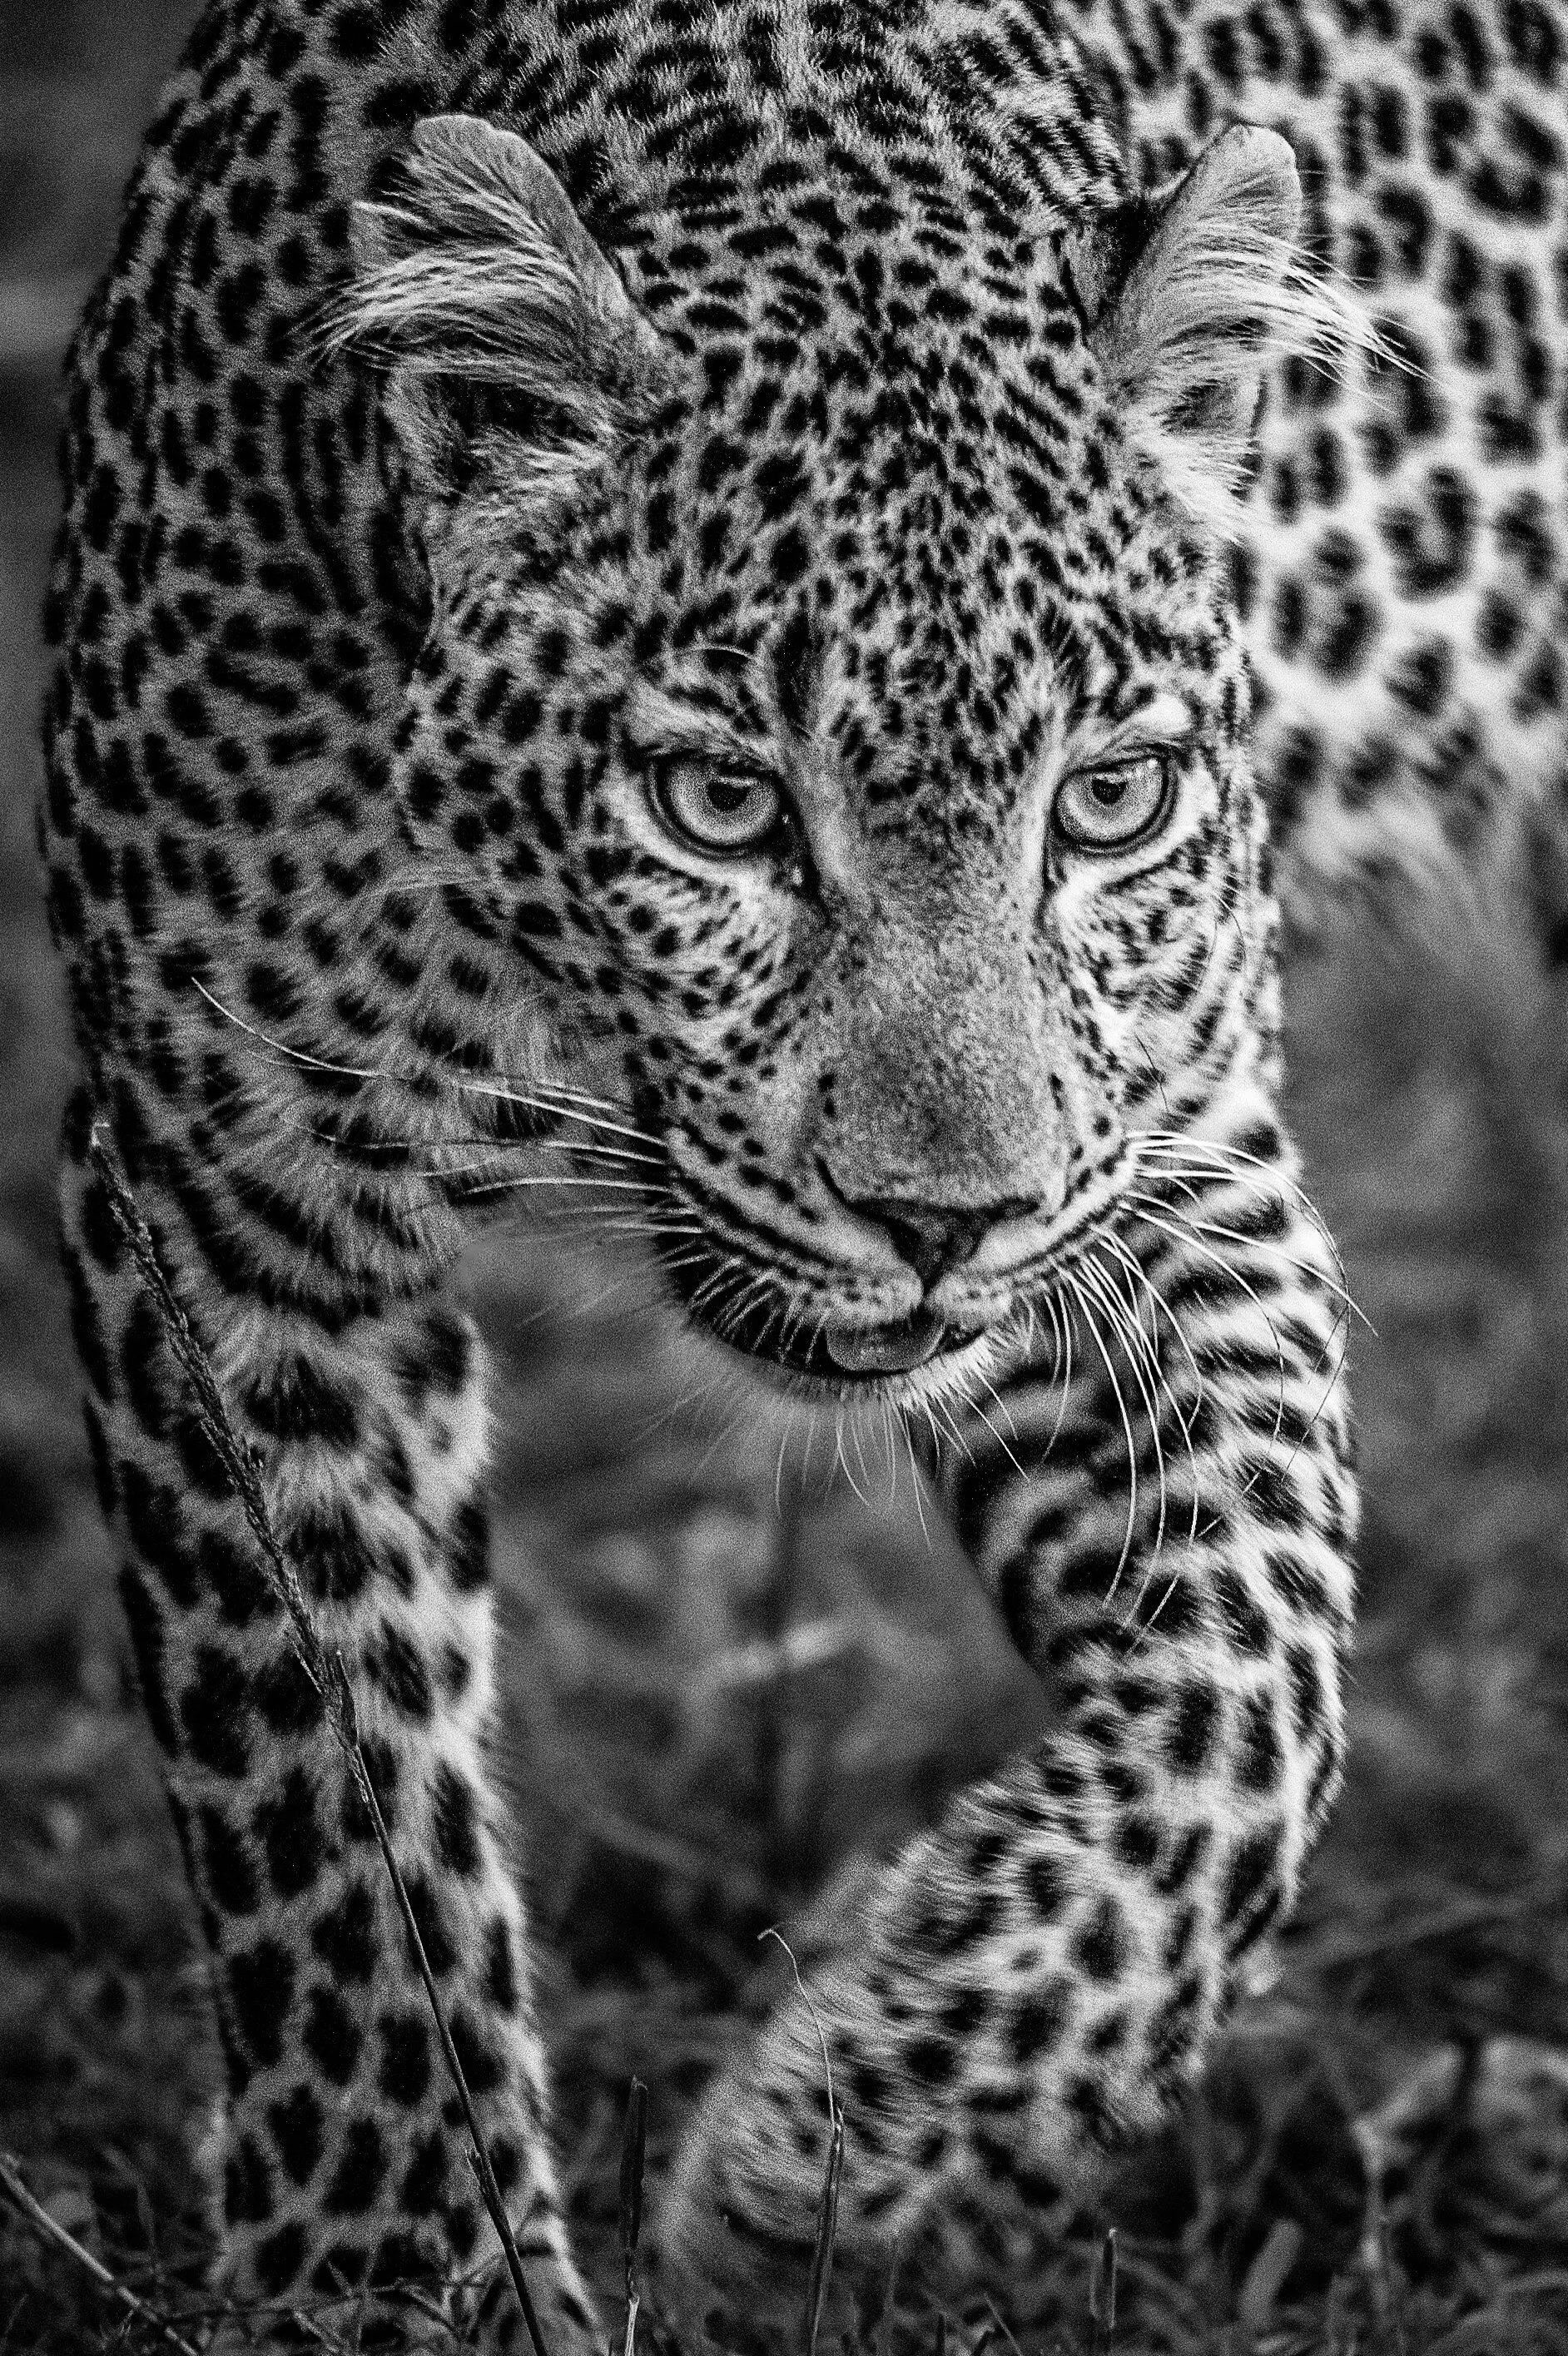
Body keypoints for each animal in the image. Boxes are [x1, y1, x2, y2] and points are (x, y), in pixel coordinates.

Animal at [35, 0, 1566, 2346]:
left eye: (1108, 800)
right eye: (722, 804)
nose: (939, 1221)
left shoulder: (1159, 1163)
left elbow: (1252, 1690)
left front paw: (844, 2122)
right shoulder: (224, 1193)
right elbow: (333, 1794)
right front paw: (402, 2275)